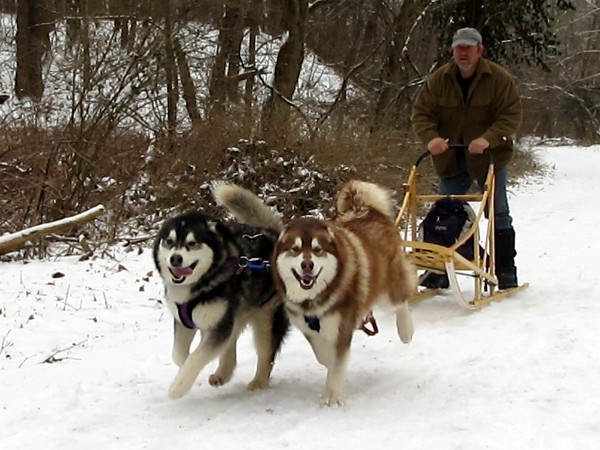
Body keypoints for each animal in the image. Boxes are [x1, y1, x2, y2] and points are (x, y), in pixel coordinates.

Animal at [152, 185, 288, 400]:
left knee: (266, 353)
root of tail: (272, 235)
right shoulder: (185, 321)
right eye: (169, 241)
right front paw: (184, 368)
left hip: (266, 317)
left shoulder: (218, 324)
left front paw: (179, 386)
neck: (200, 285)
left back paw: (258, 382)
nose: (175, 258)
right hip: (236, 313)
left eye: (192, 243)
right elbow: (180, 354)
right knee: (231, 342)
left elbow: (197, 356)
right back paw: (223, 373)